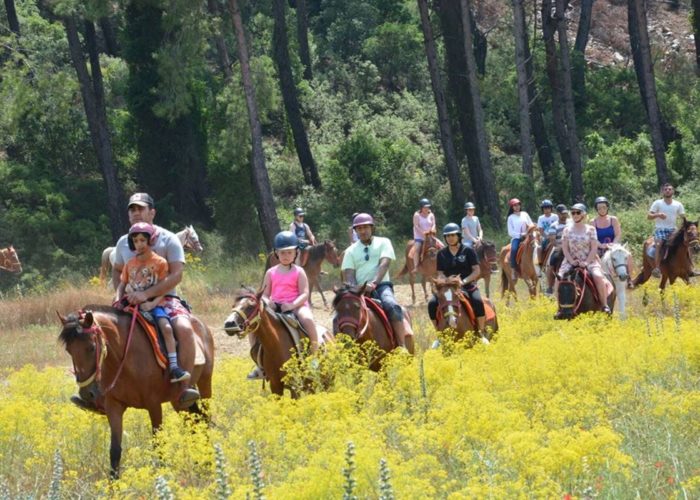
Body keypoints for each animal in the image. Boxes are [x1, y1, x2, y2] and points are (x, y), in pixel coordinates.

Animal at [58, 304, 213, 476]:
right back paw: (200, 461)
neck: (125, 358)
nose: (86, 394)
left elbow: (158, 445)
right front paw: (113, 483)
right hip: (178, 400)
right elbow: (115, 451)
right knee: (193, 423)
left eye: (91, 348)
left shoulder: (154, 405)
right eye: (69, 350)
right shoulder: (114, 406)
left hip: (205, 383)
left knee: (205, 420)